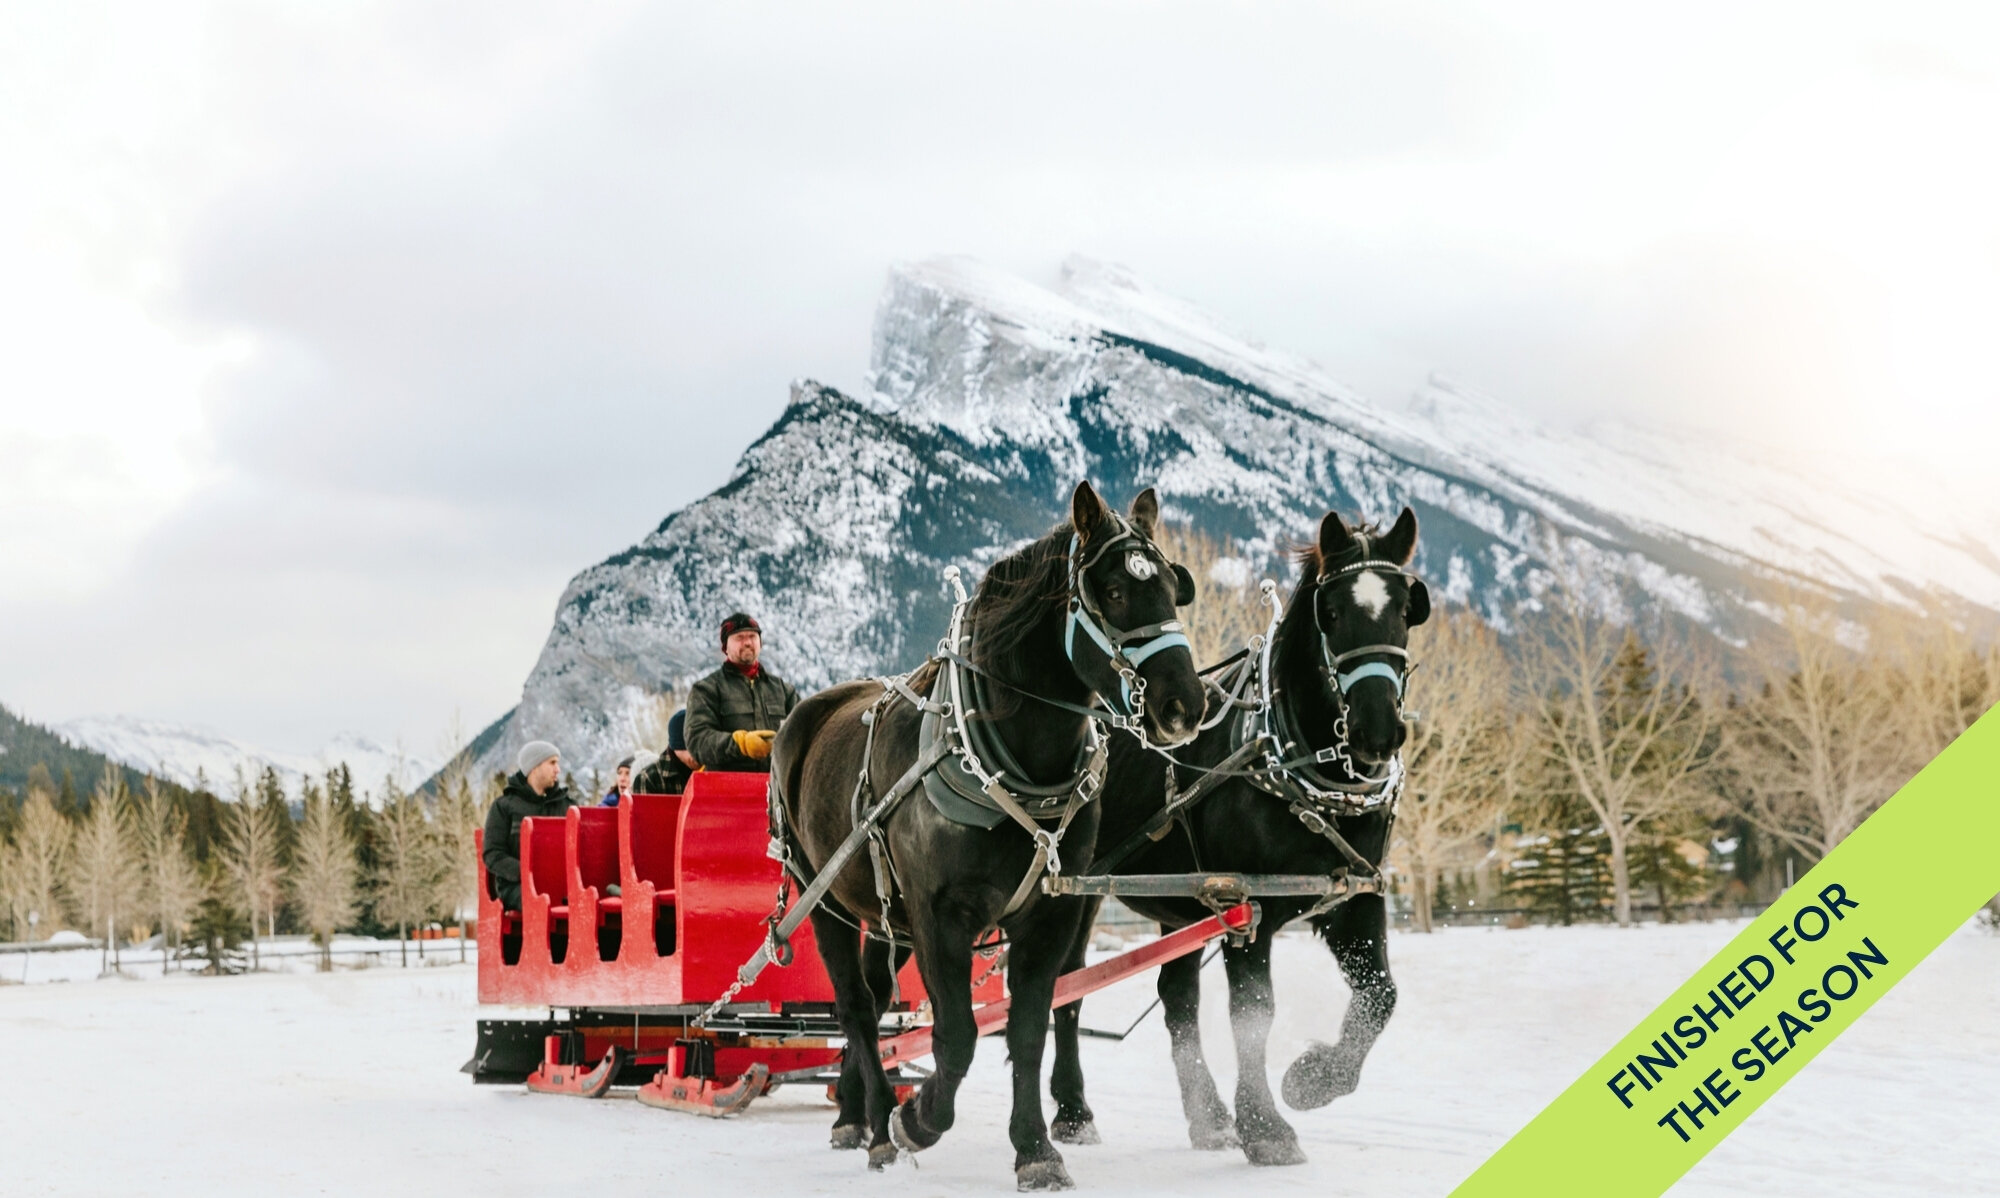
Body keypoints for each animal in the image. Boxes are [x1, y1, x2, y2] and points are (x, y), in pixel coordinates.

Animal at [764, 480, 1200, 1192]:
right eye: (1112, 591)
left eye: (1170, 584)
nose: (1183, 706)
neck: (1015, 759)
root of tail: (803, 716)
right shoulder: (941, 915)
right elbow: (959, 1036)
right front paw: (918, 1119)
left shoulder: (1051, 914)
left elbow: (1026, 1030)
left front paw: (1036, 1150)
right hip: (821, 896)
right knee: (855, 1007)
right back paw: (880, 1123)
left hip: (885, 916)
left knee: (875, 1001)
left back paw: (854, 1113)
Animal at [1056, 508, 1432, 1168]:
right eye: (1332, 612)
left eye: (1406, 611)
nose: (1377, 731)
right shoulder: (1244, 903)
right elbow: (1253, 1012)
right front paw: (1267, 1126)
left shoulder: (1355, 899)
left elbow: (1380, 994)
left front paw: (1312, 1080)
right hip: (1077, 895)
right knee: (1065, 992)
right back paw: (1074, 1112)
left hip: (1181, 905)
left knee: (1176, 997)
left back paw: (1207, 1117)